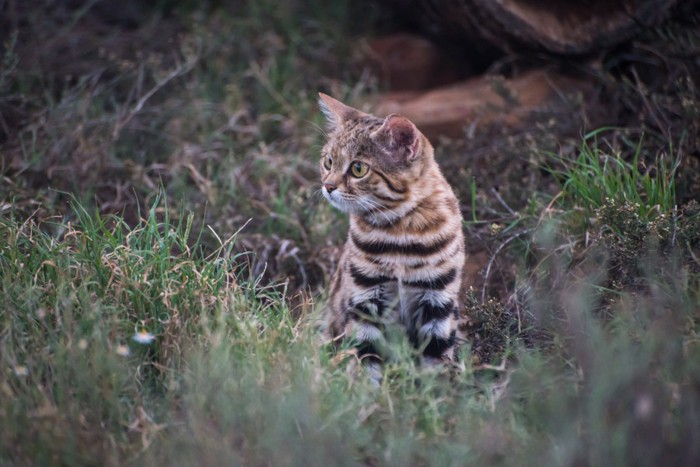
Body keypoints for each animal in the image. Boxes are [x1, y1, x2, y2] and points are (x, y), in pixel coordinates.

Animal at [318, 93, 464, 372]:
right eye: (328, 162)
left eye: (358, 169)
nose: (327, 186)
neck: (400, 233)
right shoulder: (365, 299)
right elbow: (364, 360)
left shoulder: (438, 301)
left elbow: (437, 364)